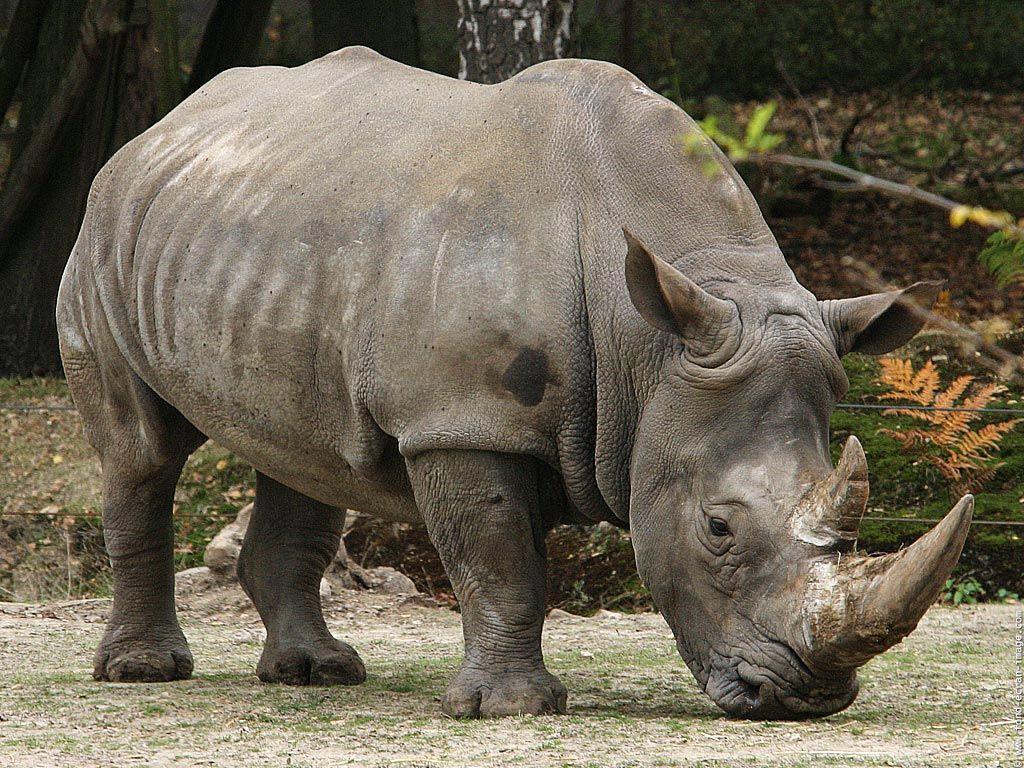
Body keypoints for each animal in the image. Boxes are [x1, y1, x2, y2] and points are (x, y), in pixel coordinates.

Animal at [57, 47, 972, 720]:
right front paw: (511, 708)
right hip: (104, 232)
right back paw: (144, 672)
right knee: (142, 453)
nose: (805, 696)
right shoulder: (462, 417)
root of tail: (160, 129)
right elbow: (498, 559)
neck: (652, 342)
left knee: (310, 455)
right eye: (717, 528)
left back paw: (318, 674)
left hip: (257, 230)